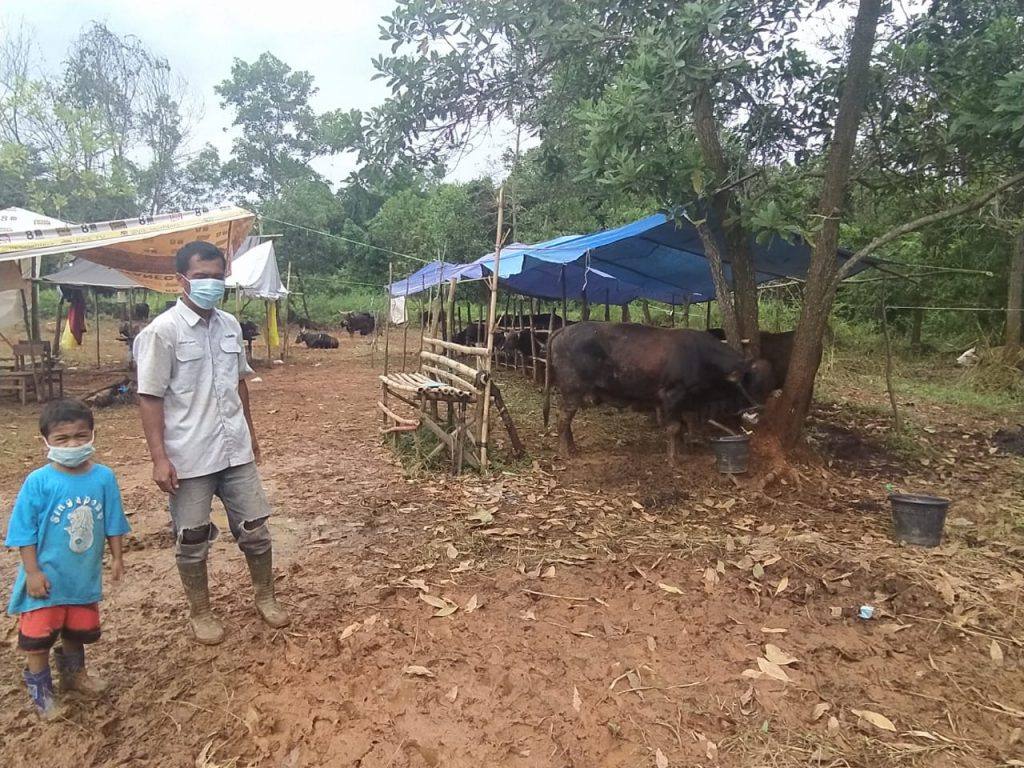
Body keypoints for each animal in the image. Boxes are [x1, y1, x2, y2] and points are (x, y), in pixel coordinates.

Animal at [544, 321, 770, 460]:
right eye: (751, 383)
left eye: (767, 384)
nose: (759, 413)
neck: (700, 356)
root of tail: (563, 330)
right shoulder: (671, 396)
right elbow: (674, 427)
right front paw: (673, 459)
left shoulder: (684, 401)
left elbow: (684, 424)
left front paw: (683, 449)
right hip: (572, 391)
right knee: (562, 418)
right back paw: (565, 452)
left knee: (565, 419)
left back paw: (572, 448)